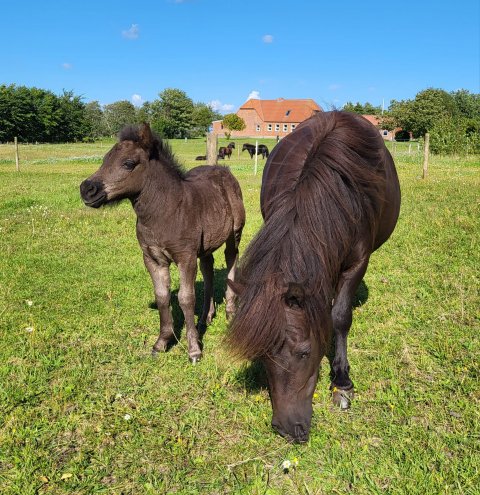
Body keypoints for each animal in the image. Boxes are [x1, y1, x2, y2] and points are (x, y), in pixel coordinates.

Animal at [80, 124, 246, 364]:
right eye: (105, 160)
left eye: (128, 163)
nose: (87, 189)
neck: (166, 211)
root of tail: (224, 170)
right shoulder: (152, 258)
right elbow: (162, 297)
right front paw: (162, 342)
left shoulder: (185, 257)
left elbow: (186, 298)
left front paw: (194, 350)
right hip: (205, 245)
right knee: (208, 268)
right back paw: (206, 317)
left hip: (235, 233)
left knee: (232, 258)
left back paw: (230, 311)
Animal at [227, 111, 400, 442]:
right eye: (263, 357)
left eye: (304, 353)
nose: (286, 429)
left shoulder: (357, 263)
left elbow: (340, 317)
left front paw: (342, 382)